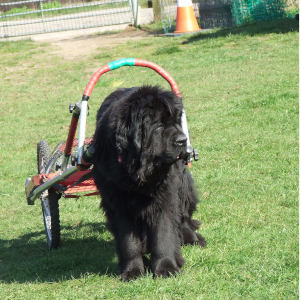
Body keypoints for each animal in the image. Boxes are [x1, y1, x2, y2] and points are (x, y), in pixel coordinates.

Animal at [91, 85, 204, 282]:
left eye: (176, 121)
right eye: (159, 125)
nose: (183, 140)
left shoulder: (166, 198)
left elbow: (163, 234)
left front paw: (166, 268)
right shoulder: (117, 204)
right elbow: (128, 242)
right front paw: (132, 271)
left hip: (183, 187)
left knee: (183, 218)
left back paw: (194, 240)